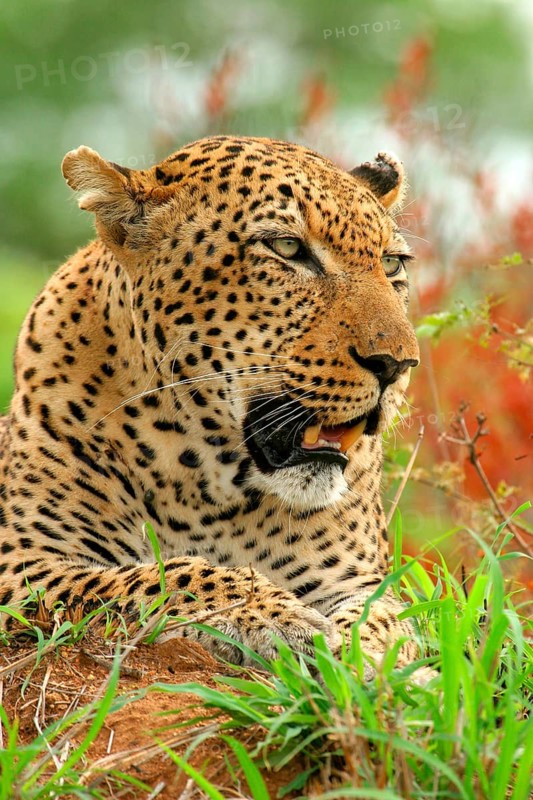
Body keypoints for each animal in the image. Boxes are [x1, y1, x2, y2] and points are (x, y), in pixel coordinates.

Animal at [0, 135, 424, 672]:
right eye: (287, 248)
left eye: (391, 264)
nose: (397, 365)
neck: (206, 478)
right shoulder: (24, 562)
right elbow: (161, 576)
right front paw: (278, 618)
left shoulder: (358, 579)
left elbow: (386, 620)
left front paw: (362, 660)